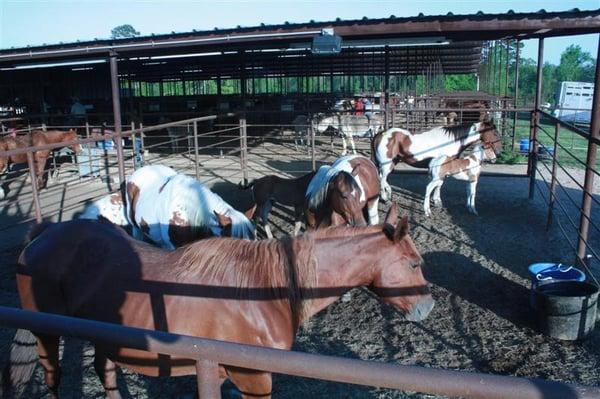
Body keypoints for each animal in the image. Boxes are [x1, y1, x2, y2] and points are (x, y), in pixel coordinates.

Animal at [8, 205, 432, 398]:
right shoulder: (253, 377)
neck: (265, 289)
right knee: (53, 375)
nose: (427, 308)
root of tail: (43, 234)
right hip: (46, 334)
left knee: (105, 370)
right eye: (414, 263)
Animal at [370, 121, 502, 203]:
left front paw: (435, 199)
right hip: (386, 164)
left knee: (383, 178)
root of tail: (381, 134)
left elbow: (439, 184)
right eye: (494, 132)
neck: (451, 141)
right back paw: (384, 198)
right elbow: (439, 185)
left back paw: (388, 193)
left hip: (391, 163)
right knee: (381, 179)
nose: (500, 151)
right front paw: (437, 200)